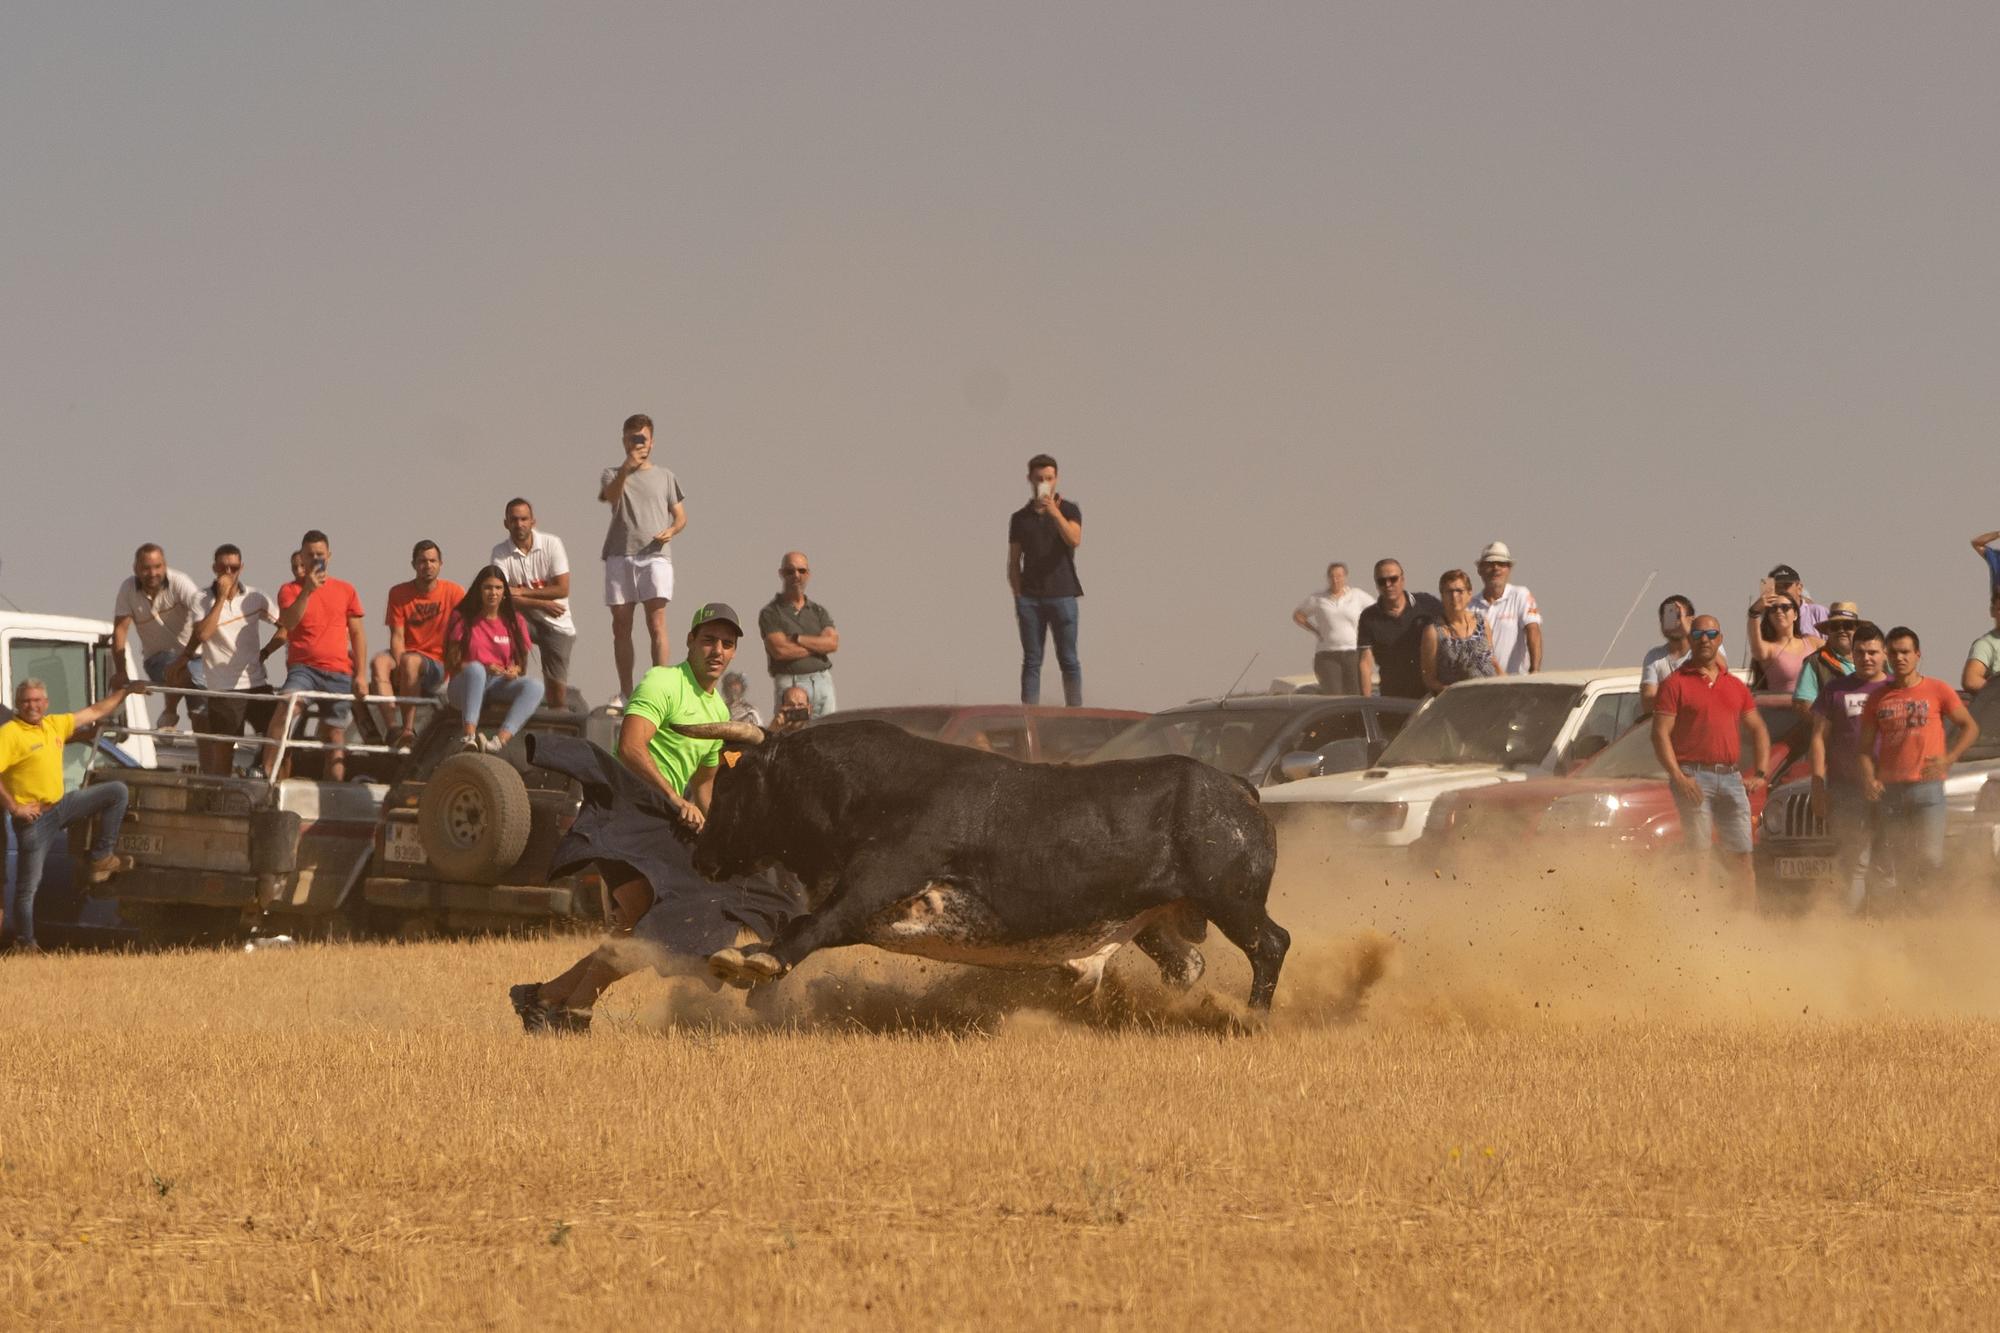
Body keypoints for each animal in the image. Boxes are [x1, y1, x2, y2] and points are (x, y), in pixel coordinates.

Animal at [696, 720, 1288, 1000]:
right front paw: (739, 958)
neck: (865, 790)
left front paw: (759, 962)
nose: (700, 854)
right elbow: (806, 922)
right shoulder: (880, 914)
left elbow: (813, 923)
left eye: (730, 784)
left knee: (1271, 945)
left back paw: (1251, 1019)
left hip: (1233, 902)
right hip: (1156, 919)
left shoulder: (876, 882)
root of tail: (1235, 786)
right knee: (1187, 965)